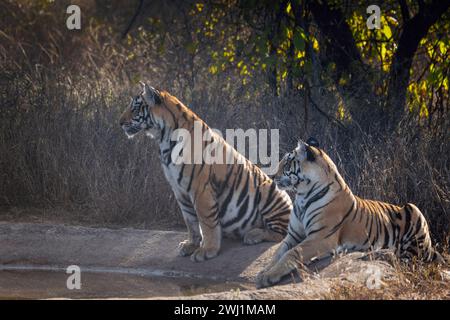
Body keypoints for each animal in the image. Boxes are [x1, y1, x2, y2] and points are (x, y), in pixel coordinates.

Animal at [118, 82, 292, 262]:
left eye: (135, 108)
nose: (120, 123)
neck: (164, 139)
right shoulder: (179, 190)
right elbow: (190, 220)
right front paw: (191, 244)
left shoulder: (200, 189)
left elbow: (206, 222)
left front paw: (207, 250)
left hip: (269, 191)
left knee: (281, 233)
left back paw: (253, 235)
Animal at [256, 138, 442, 288]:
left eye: (287, 163)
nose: (272, 176)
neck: (302, 196)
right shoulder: (293, 235)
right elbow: (278, 253)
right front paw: (263, 272)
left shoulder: (321, 237)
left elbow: (291, 253)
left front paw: (268, 277)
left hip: (414, 212)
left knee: (409, 258)